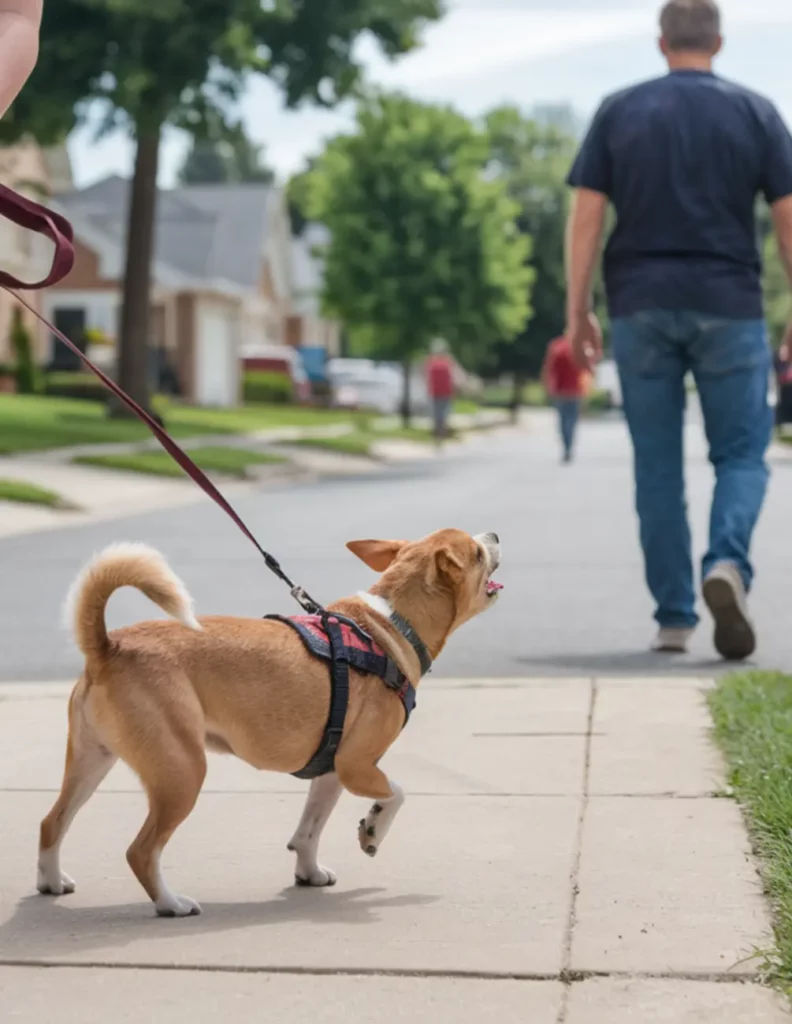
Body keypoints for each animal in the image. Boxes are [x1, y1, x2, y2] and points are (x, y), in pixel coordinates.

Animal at [35, 532, 499, 917]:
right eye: (477, 553)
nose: (494, 535)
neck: (390, 623)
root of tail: (107, 647)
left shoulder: (331, 770)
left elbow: (309, 829)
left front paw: (309, 874)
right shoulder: (356, 766)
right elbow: (398, 793)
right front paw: (372, 831)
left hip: (91, 763)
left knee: (52, 823)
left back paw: (51, 882)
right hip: (182, 774)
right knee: (140, 851)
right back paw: (170, 903)